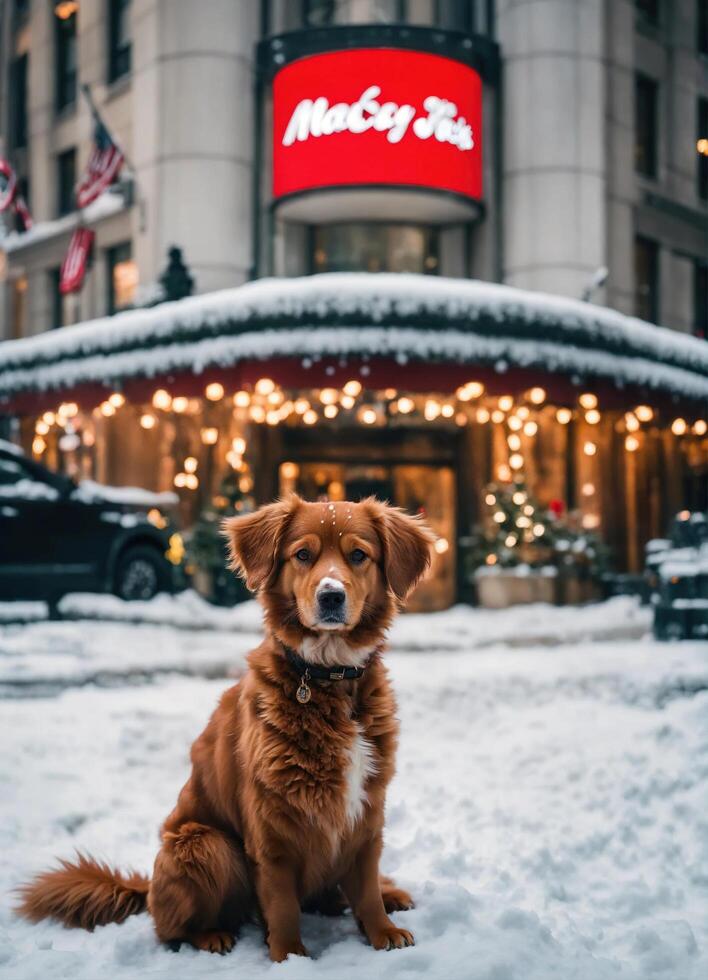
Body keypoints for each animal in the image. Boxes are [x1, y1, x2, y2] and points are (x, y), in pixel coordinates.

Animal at [18, 494, 432, 960]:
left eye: (358, 555)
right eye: (302, 555)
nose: (330, 596)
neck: (327, 675)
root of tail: (148, 889)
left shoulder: (366, 812)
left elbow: (365, 888)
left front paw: (381, 931)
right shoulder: (271, 824)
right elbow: (283, 905)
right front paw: (290, 957)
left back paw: (390, 892)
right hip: (203, 844)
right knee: (172, 929)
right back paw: (212, 937)